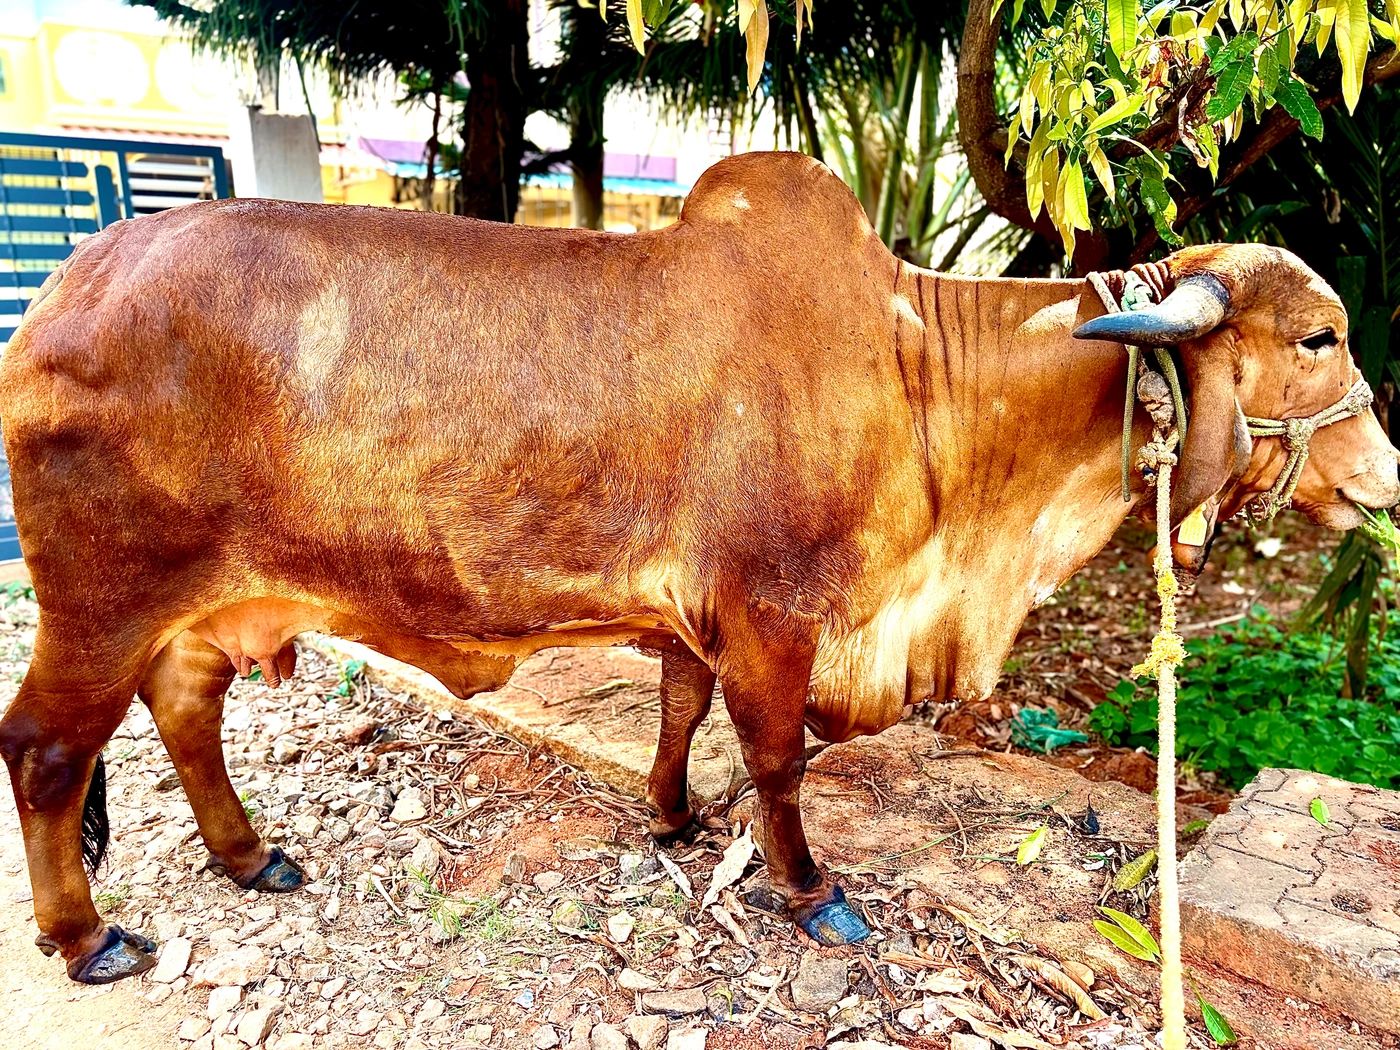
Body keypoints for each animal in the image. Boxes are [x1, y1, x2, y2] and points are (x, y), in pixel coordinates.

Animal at [0, 151, 1395, 984]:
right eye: (1318, 339)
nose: (1385, 473)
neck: (916, 369)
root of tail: (64, 286)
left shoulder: (693, 616)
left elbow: (677, 710)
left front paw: (670, 817)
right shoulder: (776, 616)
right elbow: (775, 759)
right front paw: (808, 889)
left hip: (196, 612)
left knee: (184, 709)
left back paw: (250, 856)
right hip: (100, 603)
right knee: (48, 753)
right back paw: (88, 936)